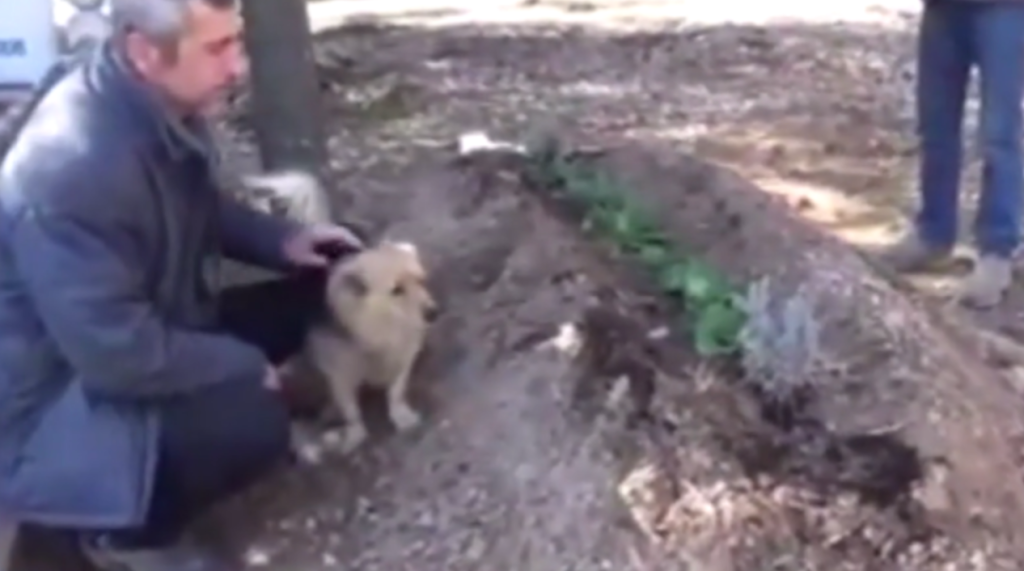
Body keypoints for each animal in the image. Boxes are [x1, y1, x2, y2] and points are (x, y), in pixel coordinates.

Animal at [299, 241, 436, 456]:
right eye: (397, 290)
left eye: (421, 280)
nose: (434, 313)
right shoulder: (340, 377)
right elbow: (351, 412)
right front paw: (355, 434)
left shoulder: (403, 356)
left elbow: (396, 391)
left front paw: (400, 415)